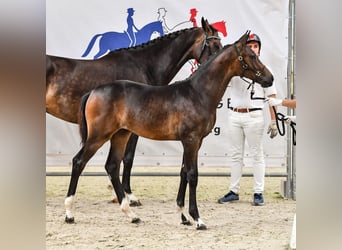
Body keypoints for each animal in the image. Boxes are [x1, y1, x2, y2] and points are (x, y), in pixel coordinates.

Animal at [64, 31, 272, 230]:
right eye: (252, 55)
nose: (270, 78)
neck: (197, 93)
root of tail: (93, 91)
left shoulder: (194, 142)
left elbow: (183, 173)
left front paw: (183, 216)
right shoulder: (191, 140)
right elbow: (192, 175)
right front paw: (197, 219)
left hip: (120, 135)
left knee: (112, 166)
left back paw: (131, 215)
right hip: (98, 136)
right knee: (78, 162)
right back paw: (69, 214)